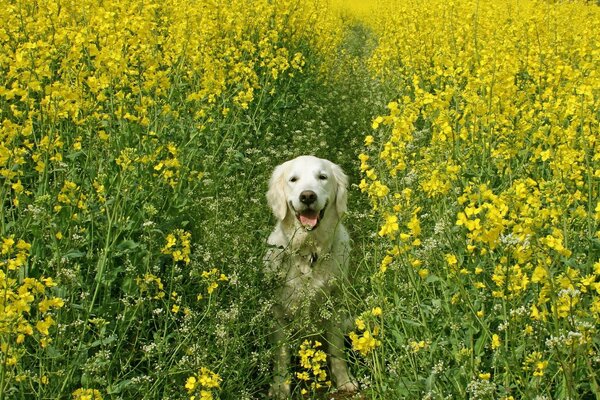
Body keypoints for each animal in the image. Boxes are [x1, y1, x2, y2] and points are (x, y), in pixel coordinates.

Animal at [264, 155, 356, 396]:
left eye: (322, 177)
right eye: (293, 179)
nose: (307, 196)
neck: (309, 254)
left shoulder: (335, 306)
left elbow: (337, 350)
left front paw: (344, 381)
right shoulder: (279, 313)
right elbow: (282, 355)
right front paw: (280, 387)